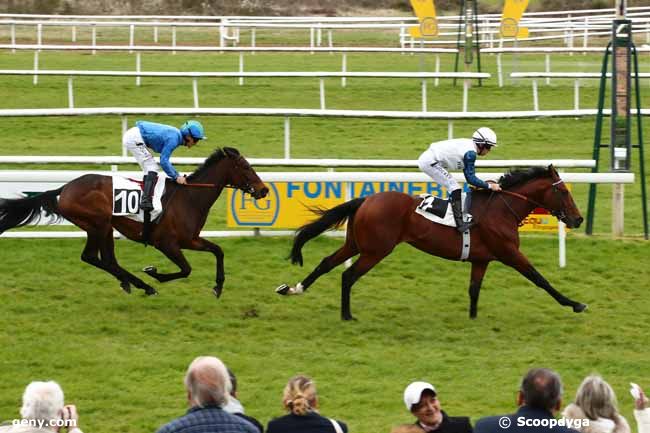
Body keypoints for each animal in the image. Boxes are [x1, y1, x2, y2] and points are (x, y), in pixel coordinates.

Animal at [0, 147, 266, 298]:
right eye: (245, 167)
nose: (263, 190)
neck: (190, 197)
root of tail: (64, 188)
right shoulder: (166, 243)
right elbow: (186, 269)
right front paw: (154, 274)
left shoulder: (190, 239)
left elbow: (218, 251)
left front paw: (218, 287)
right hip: (100, 223)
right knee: (98, 258)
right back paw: (143, 285)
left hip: (101, 227)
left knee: (100, 258)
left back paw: (131, 283)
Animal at [278, 164, 588, 318]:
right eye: (564, 192)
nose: (578, 219)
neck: (501, 209)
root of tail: (365, 199)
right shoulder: (509, 253)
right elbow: (540, 279)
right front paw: (575, 304)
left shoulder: (482, 259)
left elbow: (474, 290)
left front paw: (472, 319)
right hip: (376, 250)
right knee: (348, 276)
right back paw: (346, 315)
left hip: (356, 244)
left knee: (327, 263)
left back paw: (294, 288)